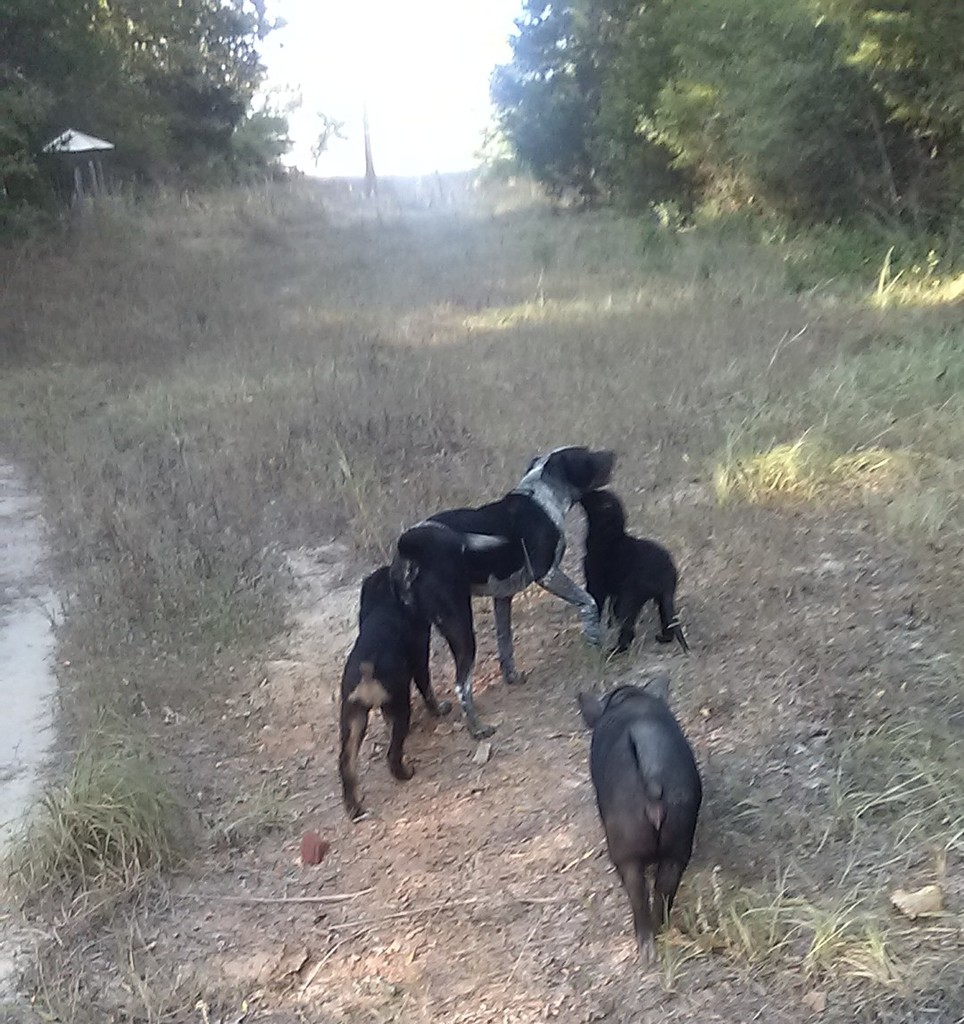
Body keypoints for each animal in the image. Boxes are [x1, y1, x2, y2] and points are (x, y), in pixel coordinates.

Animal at [338, 565, 450, 819]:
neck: (384, 604)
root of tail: (367, 667)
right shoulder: (420, 660)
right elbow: (427, 689)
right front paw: (440, 709)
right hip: (399, 704)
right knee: (393, 753)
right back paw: (405, 773)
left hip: (353, 717)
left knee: (346, 762)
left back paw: (354, 808)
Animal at [387, 446, 614, 737]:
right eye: (588, 455)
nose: (613, 454)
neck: (541, 496)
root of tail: (410, 545)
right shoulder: (548, 575)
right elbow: (589, 603)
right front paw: (595, 639)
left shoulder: (502, 597)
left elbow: (505, 644)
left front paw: (512, 677)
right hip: (460, 626)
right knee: (462, 685)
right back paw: (477, 729)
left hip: (420, 634)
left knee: (424, 678)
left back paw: (440, 711)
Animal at [573, 489, 688, 651]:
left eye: (596, 496)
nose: (583, 493)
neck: (608, 538)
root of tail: (666, 574)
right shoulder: (612, 592)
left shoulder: (597, 586)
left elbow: (596, 606)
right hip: (662, 599)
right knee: (668, 622)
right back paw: (663, 638)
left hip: (629, 599)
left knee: (628, 631)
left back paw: (615, 650)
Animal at [573, 675, 704, 962]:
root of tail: (652, 776)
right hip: (679, 834)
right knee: (665, 889)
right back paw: (660, 935)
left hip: (625, 846)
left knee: (638, 895)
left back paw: (646, 951)